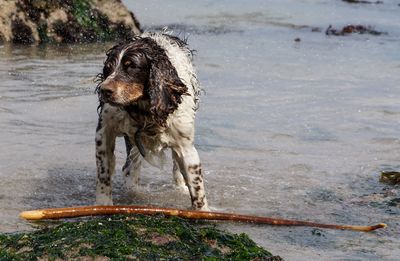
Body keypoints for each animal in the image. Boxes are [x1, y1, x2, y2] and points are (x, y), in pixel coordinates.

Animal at [95, 32, 208, 209]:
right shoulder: (104, 131)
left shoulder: (185, 144)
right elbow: (104, 173)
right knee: (130, 169)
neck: (144, 108)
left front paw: (204, 211)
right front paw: (102, 204)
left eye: (131, 66)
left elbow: (196, 186)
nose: (103, 90)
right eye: (108, 68)